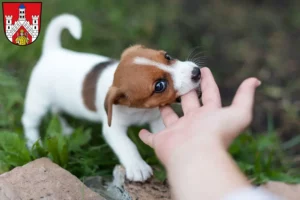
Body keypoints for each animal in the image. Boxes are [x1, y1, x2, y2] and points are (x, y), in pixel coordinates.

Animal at [22, 14, 202, 182]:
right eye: (159, 86)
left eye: (168, 56)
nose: (196, 72)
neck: (139, 110)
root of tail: (52, 51)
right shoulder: (113, 129)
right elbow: (127, 145)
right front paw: (137, 166)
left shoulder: (156, 118)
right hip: (38, 102)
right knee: (29, 121)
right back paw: (33, 142)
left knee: (56, 111)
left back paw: (64, 128)